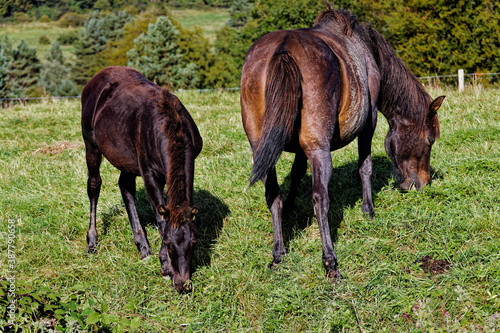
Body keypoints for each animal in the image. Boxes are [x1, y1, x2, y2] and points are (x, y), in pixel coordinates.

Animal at [81, 66, 202, 292]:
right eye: (169, 243)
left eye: (194, 242)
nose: (182, 284)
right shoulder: (149, 173)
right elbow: (160, 217)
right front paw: (165, 266)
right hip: (91, 144)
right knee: (94, 185)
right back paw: (92, 241)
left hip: (127, 158)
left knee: (125, 186)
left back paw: (143, 247)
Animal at [240, 3, 444, 278]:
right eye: (430, 140)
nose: (421, 184)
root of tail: (284, 49)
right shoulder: (368, 123)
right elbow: (364, 166)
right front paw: (368, 210)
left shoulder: (301, 147)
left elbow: (296, 172)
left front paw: (291, 209)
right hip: (320, 150)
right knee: (320, 198)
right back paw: (330, 262)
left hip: (262, 150)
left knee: (273, 194)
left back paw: (278, 253)